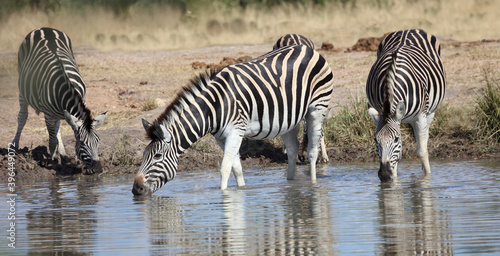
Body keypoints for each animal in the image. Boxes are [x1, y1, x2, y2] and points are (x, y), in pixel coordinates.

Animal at [12, 27, 108, 172]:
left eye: (98, 141)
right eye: (82, 143)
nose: (98, 170)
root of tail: (44, 28)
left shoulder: (80, 102)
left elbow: (56, 132)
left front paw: (61, 157)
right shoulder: (48, 114)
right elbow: (51, 140)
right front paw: (52, 162)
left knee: (56, 125)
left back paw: (63, 154)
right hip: (22, 89)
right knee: (22, 116)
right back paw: (15, 146)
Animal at [368, 29, 446, 182]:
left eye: (396, 139)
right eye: (375, 140)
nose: (384, 175)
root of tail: (407, 30)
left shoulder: (421, 116)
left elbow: (422, 151)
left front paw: (427, 177)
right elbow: (397, 158)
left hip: (430, 111)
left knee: (425, 138)